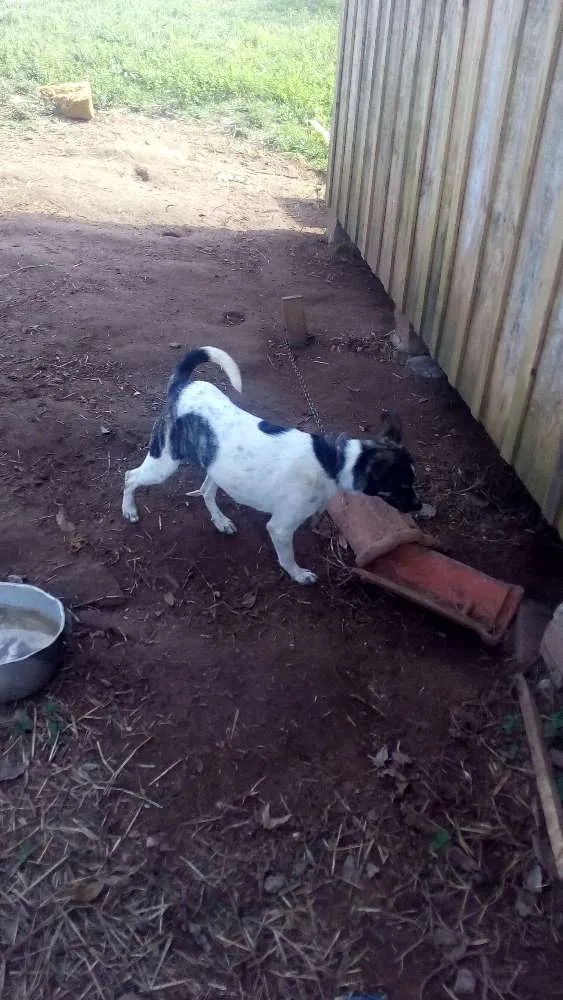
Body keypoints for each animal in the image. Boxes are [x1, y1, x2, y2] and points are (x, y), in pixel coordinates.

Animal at [124, 350, 424, 584]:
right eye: (402, 485)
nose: (419, 506)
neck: (332, 461)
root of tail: (182, 387)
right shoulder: (280, 527)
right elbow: (287, 558)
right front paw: (299, 575)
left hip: (217, 466)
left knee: (206, 491)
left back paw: (221, 522)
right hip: (163, 463)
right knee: (130, 477)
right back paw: (129, 510)